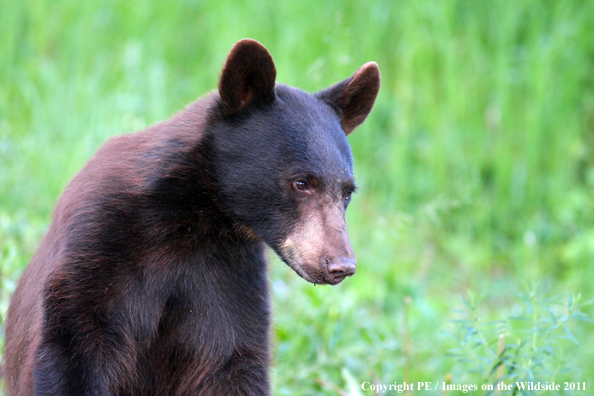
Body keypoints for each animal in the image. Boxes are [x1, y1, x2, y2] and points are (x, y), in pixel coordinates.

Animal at [4, 39, 380, 396]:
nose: (341, 264)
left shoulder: (226, 276)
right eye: (301, 182)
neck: (191, 218)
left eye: (347, 191)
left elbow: (230, 361)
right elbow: (72, 348)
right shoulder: (98, 249)